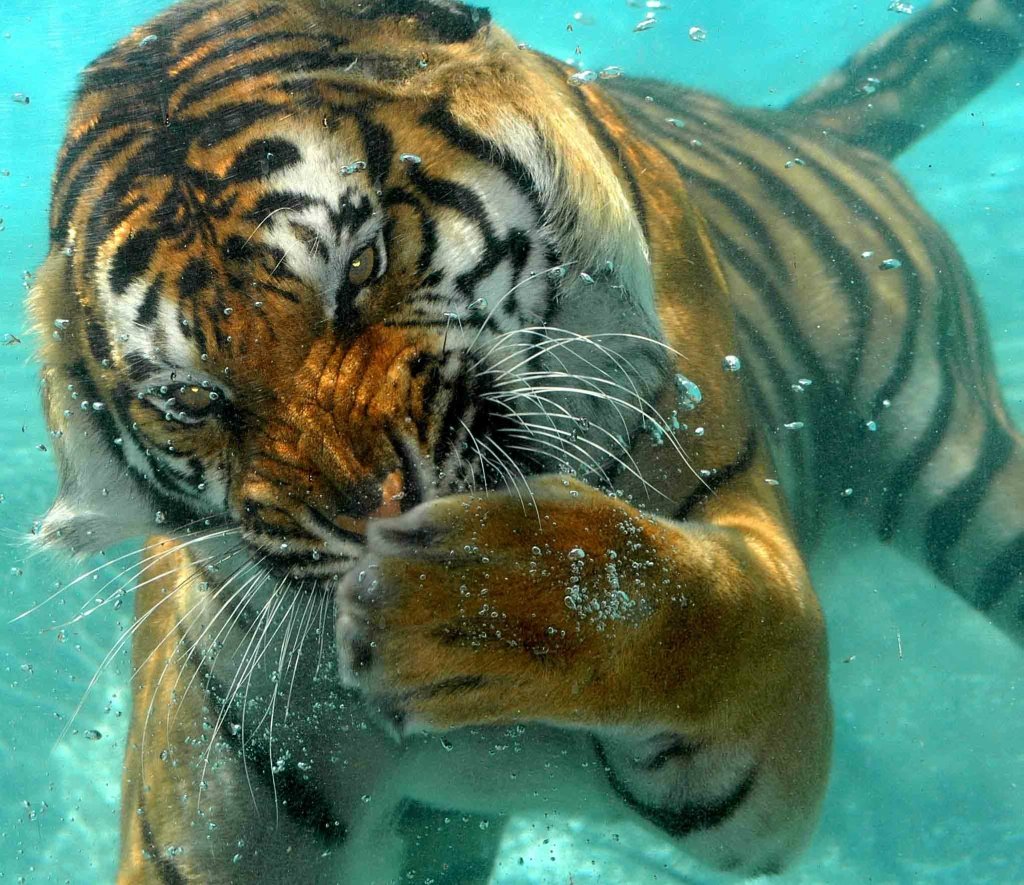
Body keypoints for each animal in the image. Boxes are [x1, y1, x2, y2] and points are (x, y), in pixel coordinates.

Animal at [28, 0, 1023, 881]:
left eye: (362, 265)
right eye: (192, 397)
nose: (377, 513)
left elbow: (696, 599)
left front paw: (468, 601)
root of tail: (789, 122)